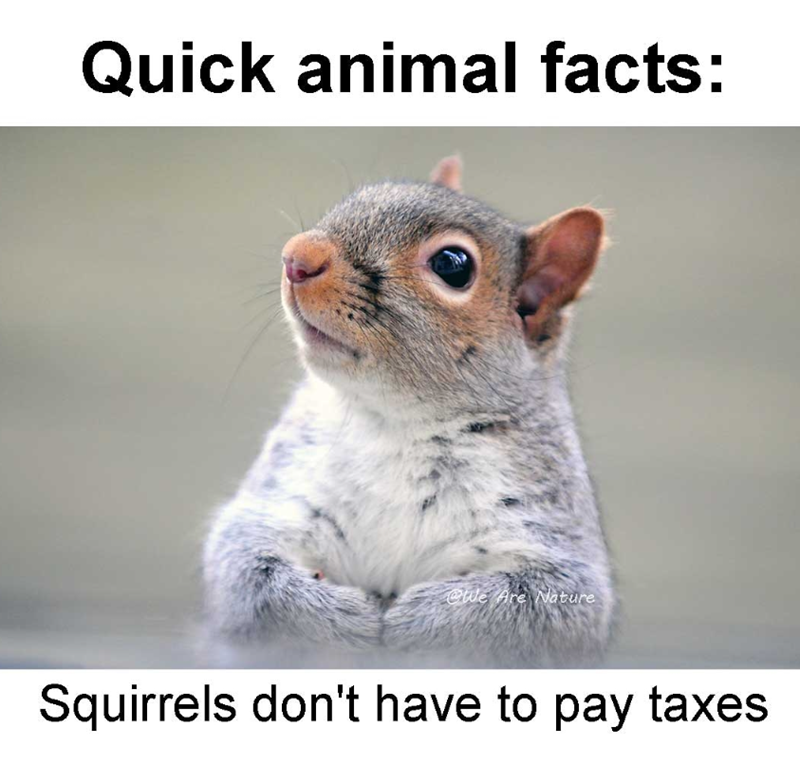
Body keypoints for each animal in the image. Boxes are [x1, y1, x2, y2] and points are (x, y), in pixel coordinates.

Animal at [204, 156, 616, 666]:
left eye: (452, 265)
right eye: (358, 196)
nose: (297, 257)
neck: (395, 422)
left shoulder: (553, 539)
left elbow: (540, 607)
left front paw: (422, 621)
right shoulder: (279, 496)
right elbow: (244, 570)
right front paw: (339, 616)